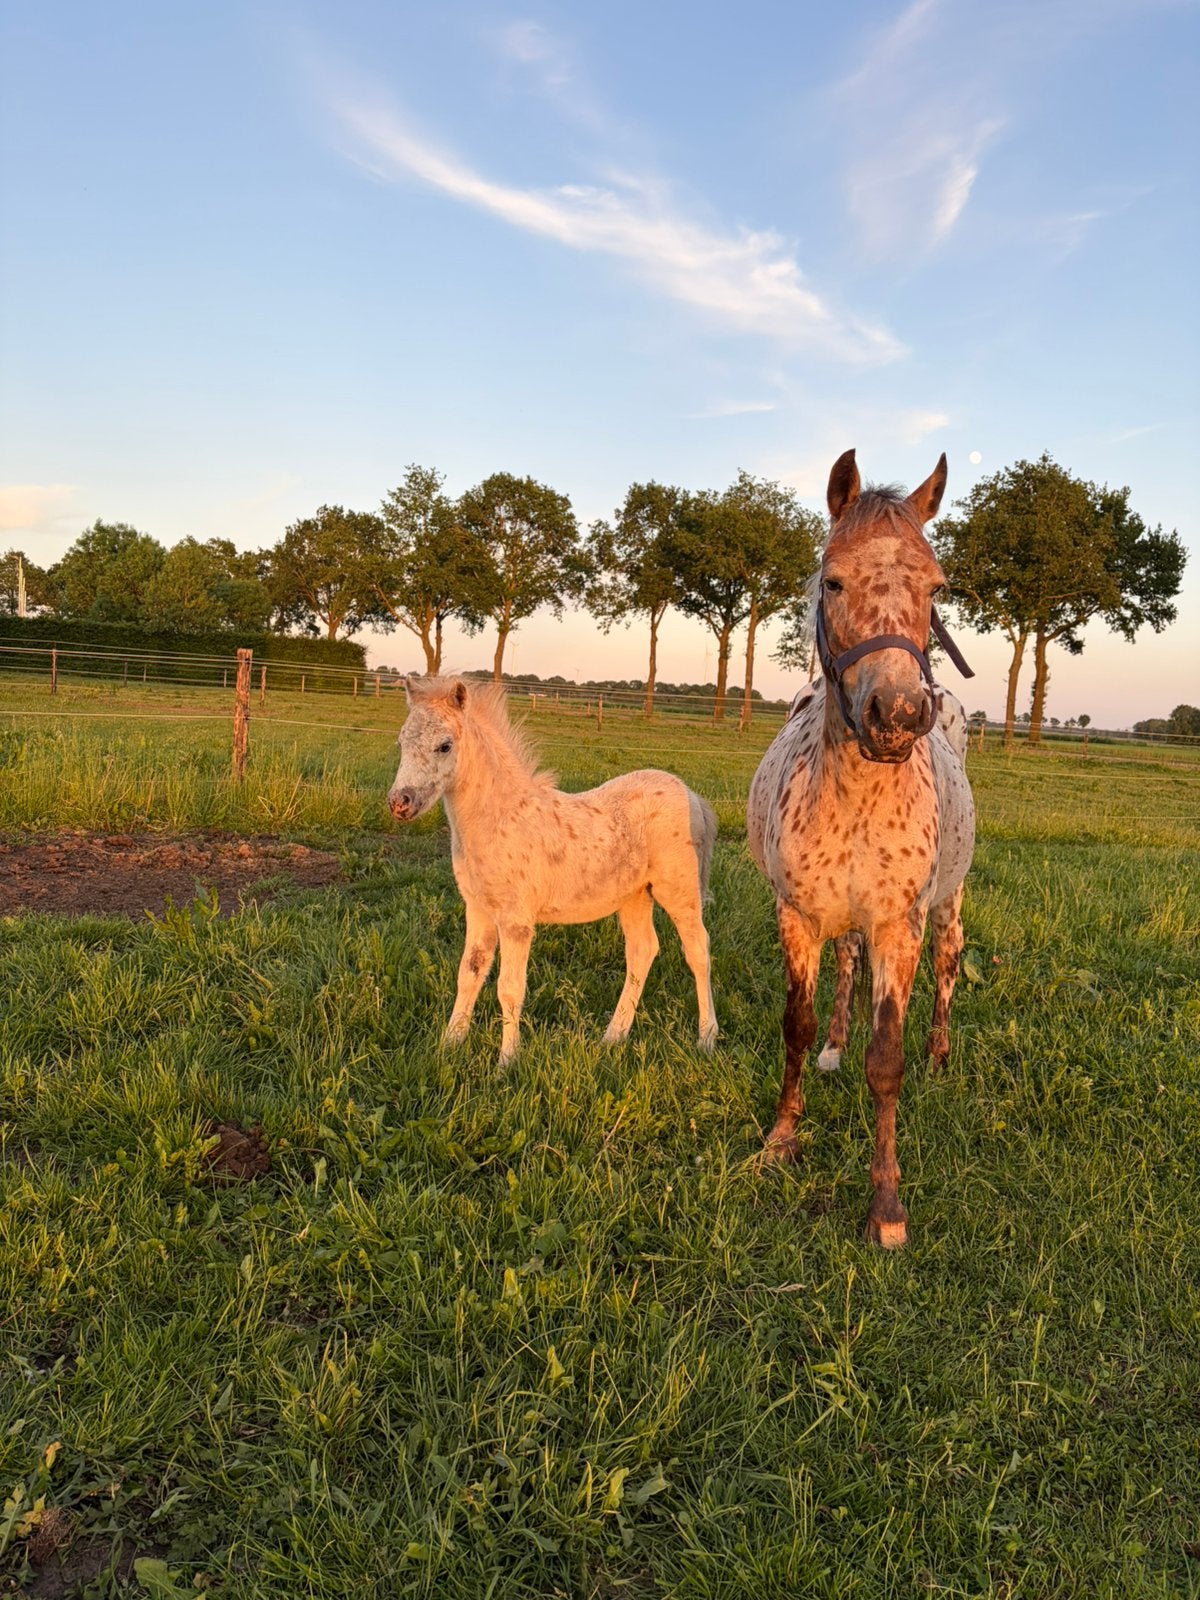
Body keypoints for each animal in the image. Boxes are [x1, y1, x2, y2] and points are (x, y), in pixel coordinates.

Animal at [388, 674, 719, 1061]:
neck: (499, 818)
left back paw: (706, 1038)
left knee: (698, 952)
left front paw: (507, 1061)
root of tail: (692, 795)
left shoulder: (516, 919)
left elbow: (509, 987)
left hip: (679, 892)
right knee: (642, 951)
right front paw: (448, 1045)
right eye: (401, 741)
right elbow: (469, 972)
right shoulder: (478, 908)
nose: (399, 802)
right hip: (635, 895)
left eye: (444, 745)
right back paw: (613, 1036)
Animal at [747, 449, 976, 1248]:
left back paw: (940, 1057)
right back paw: (837, 1047)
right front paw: (781, 1139)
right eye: (833, 580)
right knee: (845, 966)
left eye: (936, 586)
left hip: (946, 905)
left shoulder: (896, 928)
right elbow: (798, 1024)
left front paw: (886, 1205)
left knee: (948, 962)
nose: (898, 713)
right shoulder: (797, 917)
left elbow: (887, 1062)